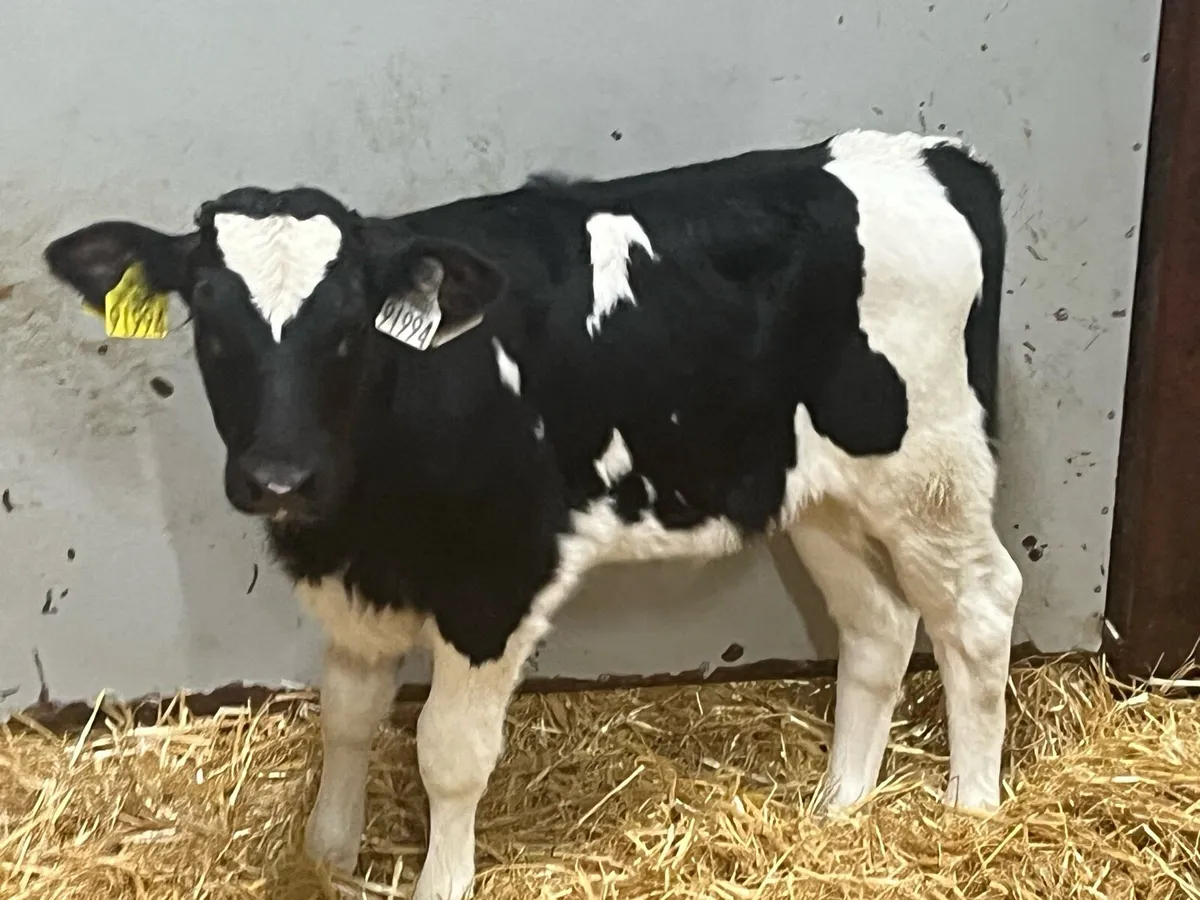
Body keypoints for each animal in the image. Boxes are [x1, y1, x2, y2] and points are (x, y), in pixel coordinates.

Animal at [43, 129, 1021, 900]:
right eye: (208, 322)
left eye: (349, 327)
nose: (281, 477)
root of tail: (930, 155)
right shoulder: (357, 587)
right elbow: (348, 719)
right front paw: (326, 860)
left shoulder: (496, 581)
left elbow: (448, 752)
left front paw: (440, 882)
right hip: (819, 492)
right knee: (881, 625)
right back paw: (841, 807)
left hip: (931, 471)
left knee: (977, 609)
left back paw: (971, 815)